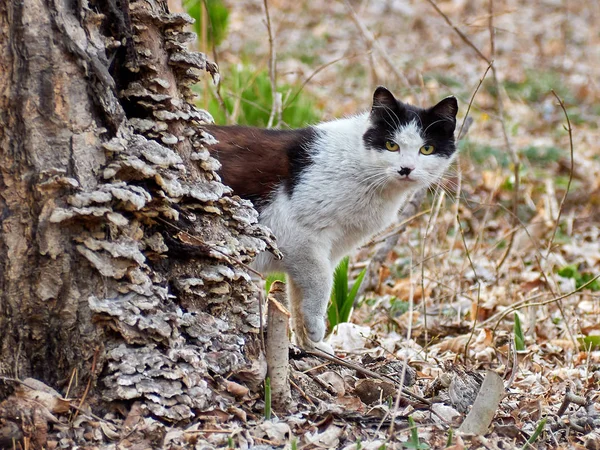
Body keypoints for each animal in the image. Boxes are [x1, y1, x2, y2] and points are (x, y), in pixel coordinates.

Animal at [204, 86, 458, 350]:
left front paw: (308, 345)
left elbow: (297, 296)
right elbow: (322, 281)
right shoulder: (300, 237)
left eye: (426, 149)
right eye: (391, 145)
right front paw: (316, 328)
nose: (406, 169)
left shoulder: (325, 251)